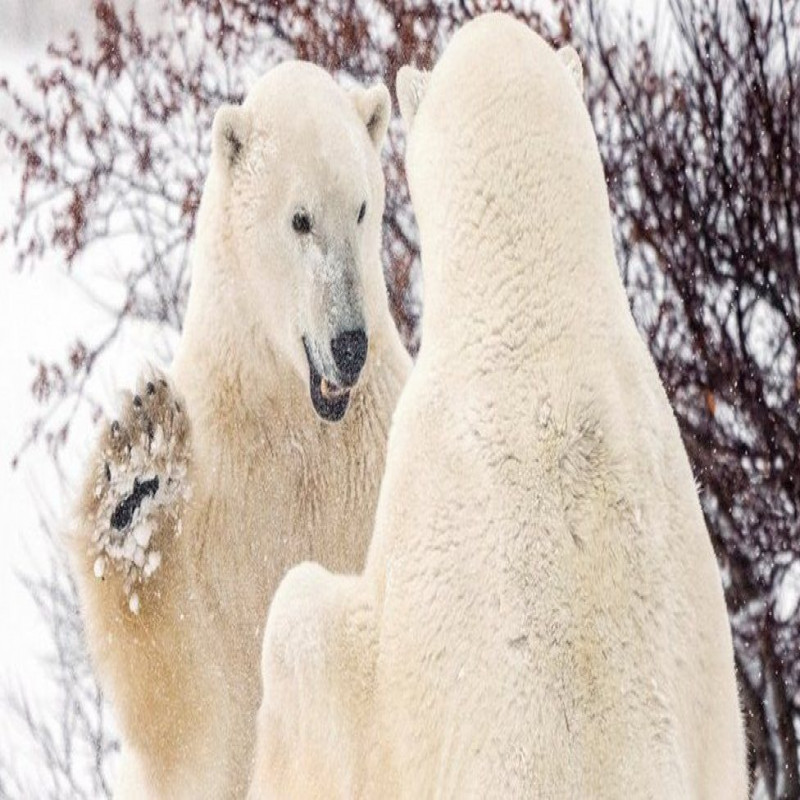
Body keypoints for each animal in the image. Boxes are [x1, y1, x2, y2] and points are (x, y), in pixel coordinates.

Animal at [69, 59, 412, 796]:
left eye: (362, 207)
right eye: (300, 219)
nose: (349, 344)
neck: (298, 423)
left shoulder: (380, 458)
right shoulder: (220, 494)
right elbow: (191, 708)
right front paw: (135, 480)